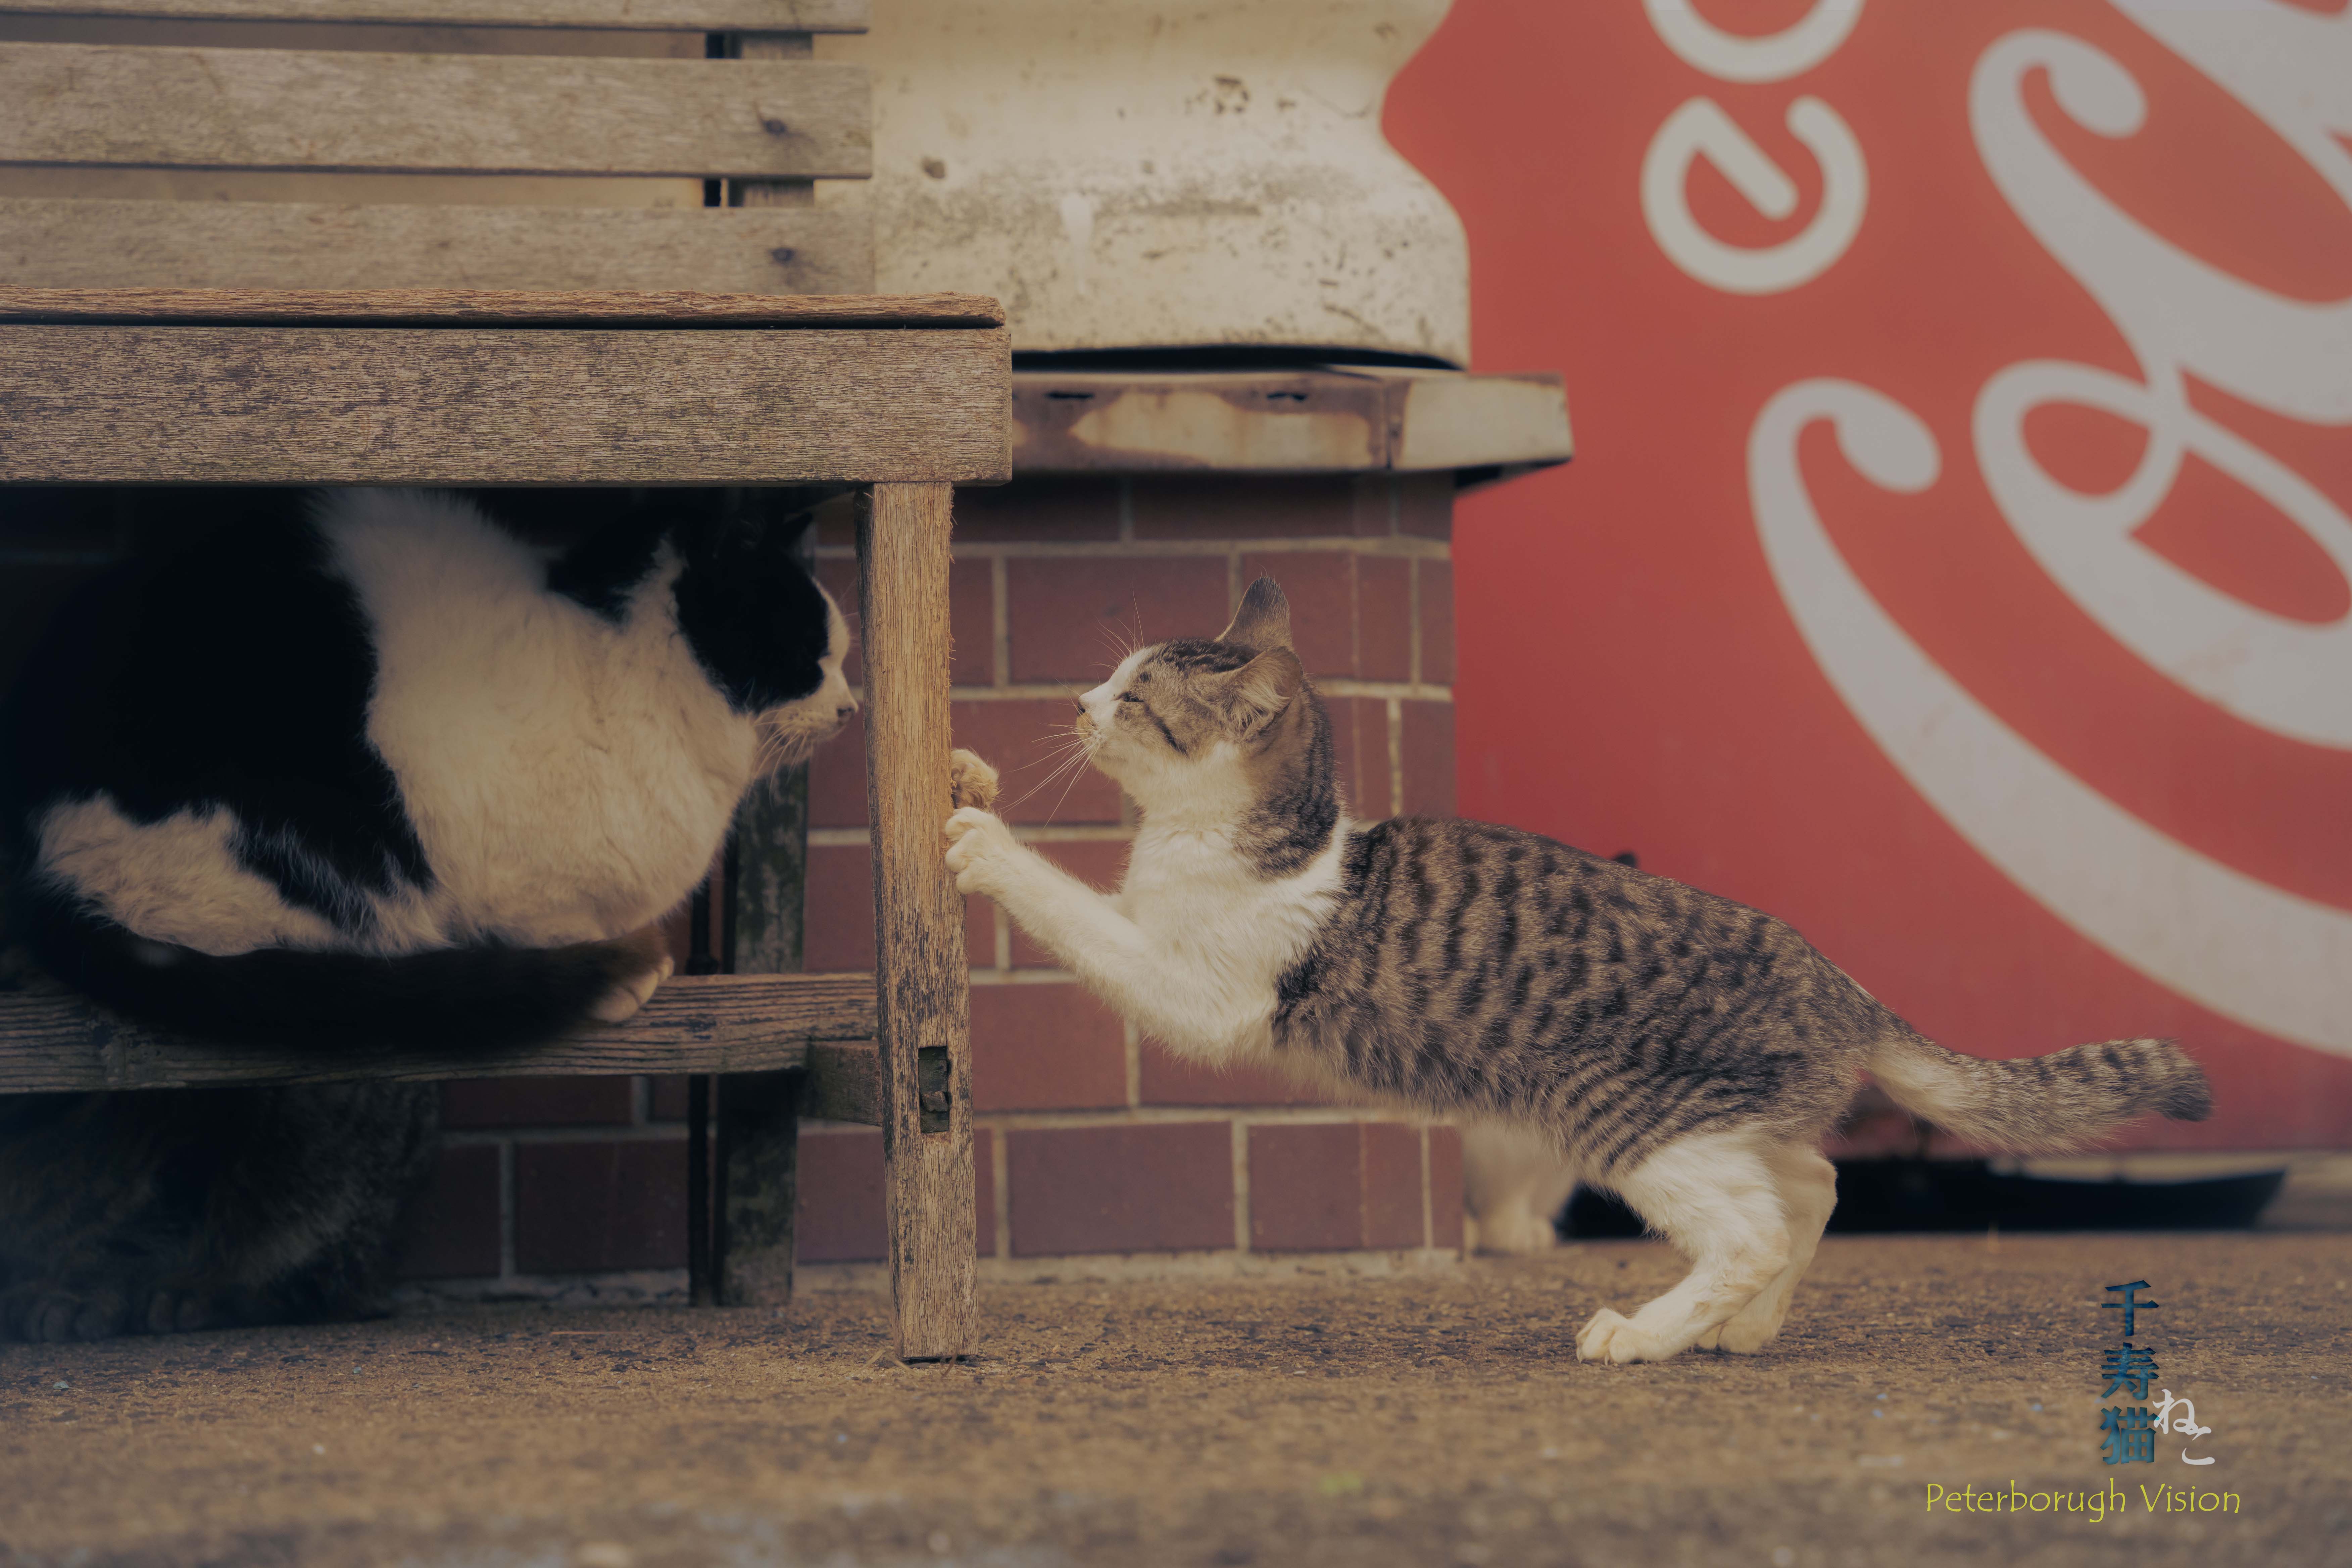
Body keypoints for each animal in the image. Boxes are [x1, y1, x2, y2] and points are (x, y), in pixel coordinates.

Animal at [945, 576, 2211, 1363]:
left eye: (1133, 700)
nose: (1074, 702)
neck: (1276, 845)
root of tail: (1839, 983)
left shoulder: (1194, 988)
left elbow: (1071, 908)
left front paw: (984, 842)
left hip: (1631, 1124)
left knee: (1753, 1226)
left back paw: (1645, 1334)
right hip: (1719, 1123)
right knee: (1811, 1186)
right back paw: (1740, 1330)